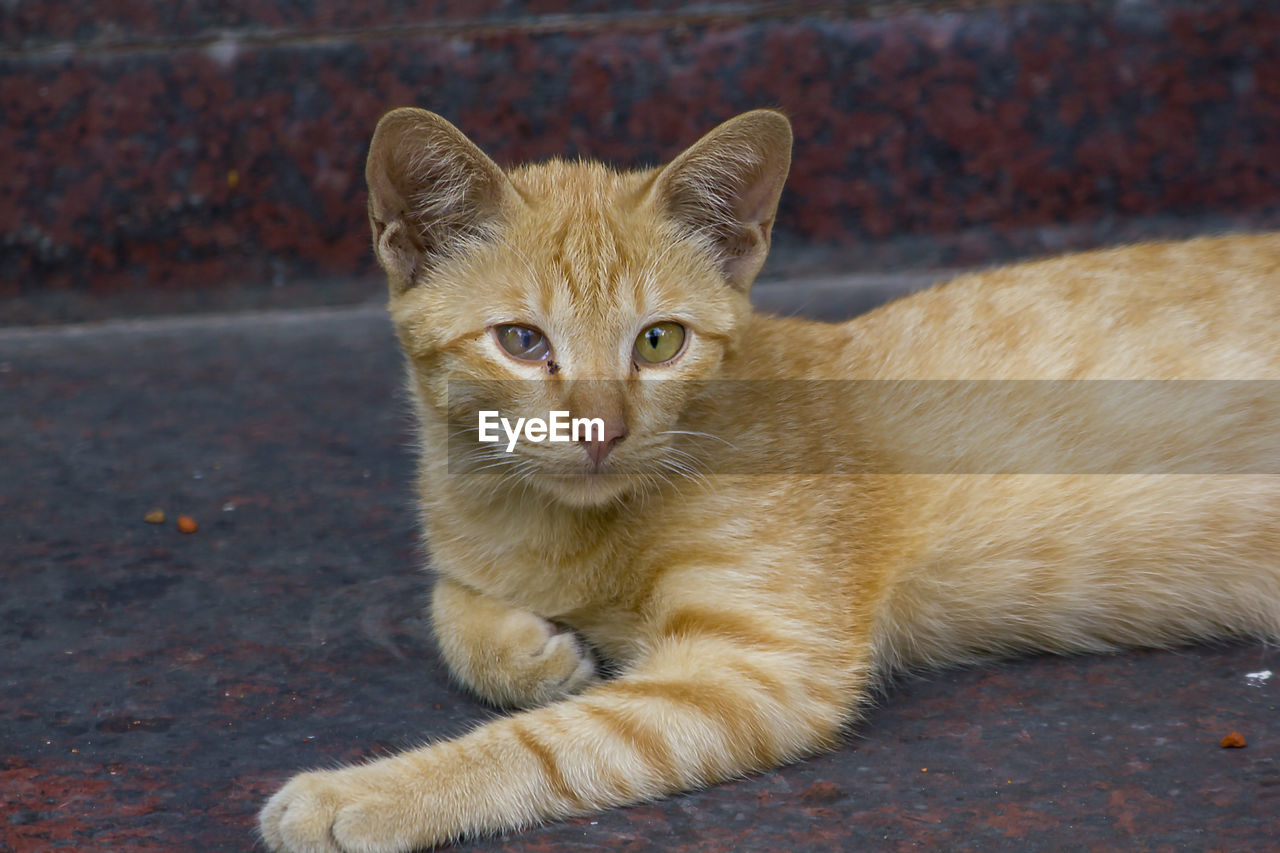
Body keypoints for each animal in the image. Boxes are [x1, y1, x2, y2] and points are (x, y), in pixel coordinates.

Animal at [259, 109, 1280, 845]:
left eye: (658, 342)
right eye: (521, 341)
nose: (600, 430)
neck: (558, 527)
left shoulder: (755, 666)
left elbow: (552, 745)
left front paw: (366, 795)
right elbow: (449, 603)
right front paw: (529, 649)